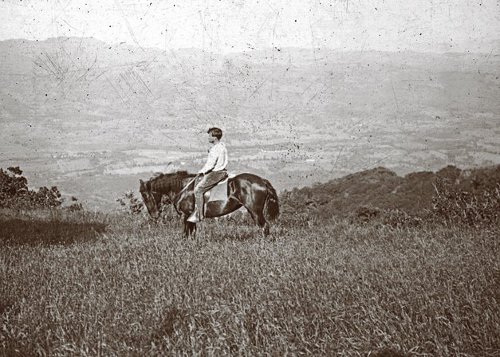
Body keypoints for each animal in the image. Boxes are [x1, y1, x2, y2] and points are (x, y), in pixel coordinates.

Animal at [141, 170, 280, 236]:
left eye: (144, 195)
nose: (154, 215)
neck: (183, 187)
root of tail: (262, 180)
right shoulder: (191, 218)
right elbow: (192, 233)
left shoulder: (186, 215)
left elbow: (186, 233)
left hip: (255, 211)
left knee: (264, 226)